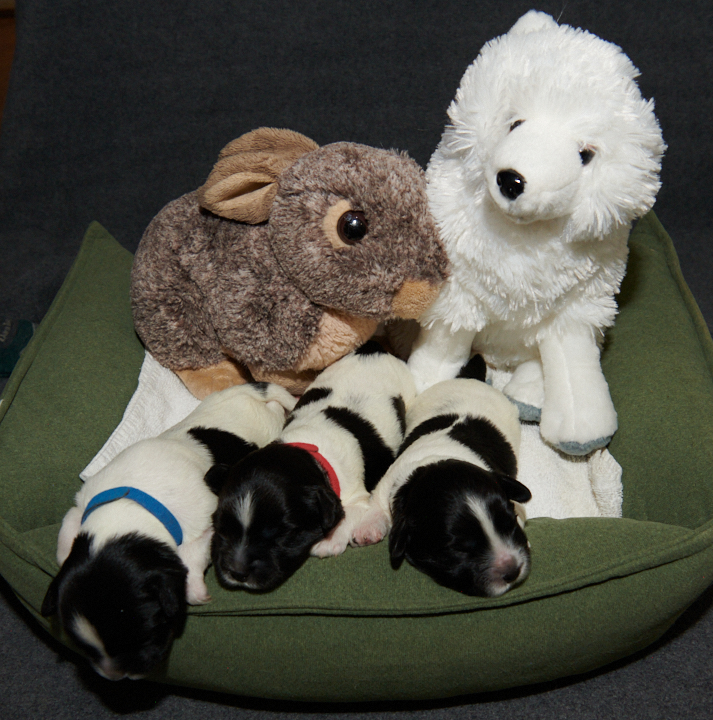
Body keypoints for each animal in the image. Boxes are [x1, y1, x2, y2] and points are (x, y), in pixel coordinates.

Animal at [39, 382, 294, 680]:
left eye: (147, 633)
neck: (131, 509)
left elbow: (191, 556)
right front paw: (64, 556)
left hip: (269, 424)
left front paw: (194, 589)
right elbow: (69, 525)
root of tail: (252, 391)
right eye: (86, 649)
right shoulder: (83, 504)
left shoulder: (207, 523)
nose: (117, 676)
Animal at [209, 340, 414, 592]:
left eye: (283, 535)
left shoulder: (358, 497)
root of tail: (374, 348)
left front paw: (330, 539)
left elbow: (346, 512)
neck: (310, 450)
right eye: (221, 526)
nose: (237, 572)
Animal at [354, 354, 532, 596]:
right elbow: (377, 505)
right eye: (458, 549)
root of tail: (470, 378)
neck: (436, 458)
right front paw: (367, 528)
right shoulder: (389, 483)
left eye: (510, 521)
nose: (513, 571)